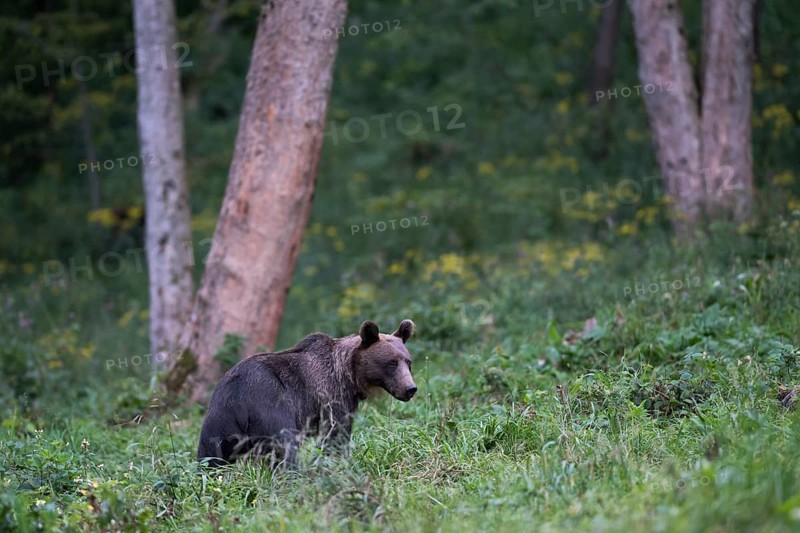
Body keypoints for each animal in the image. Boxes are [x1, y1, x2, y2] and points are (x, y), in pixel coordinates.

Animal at [197, 319, 417, 467]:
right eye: (391, 363)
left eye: (408, 362)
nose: (410, 389)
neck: (349, 375)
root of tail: (237, 395)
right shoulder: (332, 396)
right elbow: (336, 434)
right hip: (268, 403)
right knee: (284, 448)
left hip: (219, 421)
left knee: (210, 458)